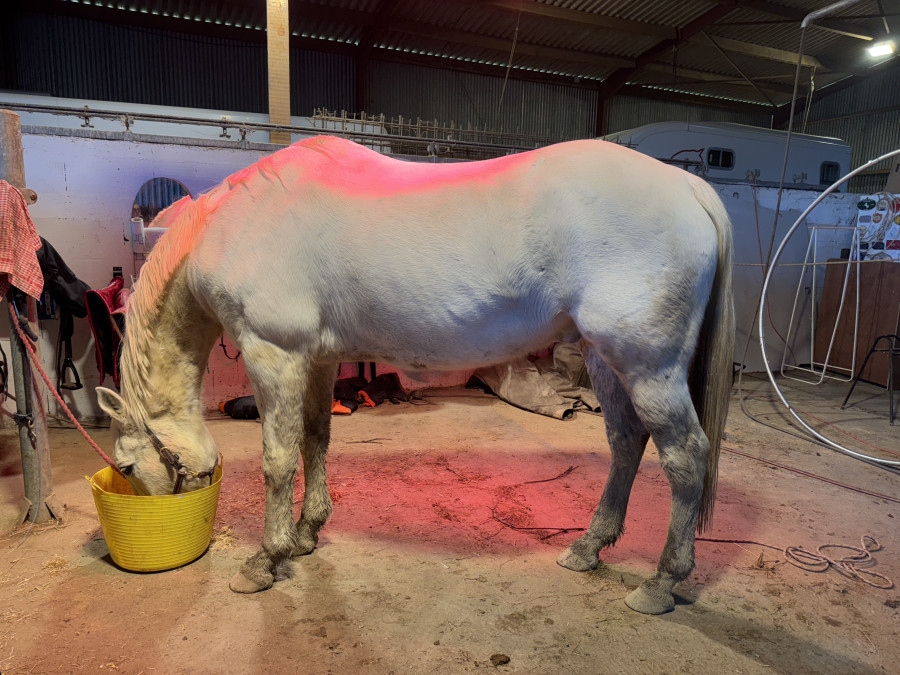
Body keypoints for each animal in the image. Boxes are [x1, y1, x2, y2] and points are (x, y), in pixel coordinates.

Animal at [96, 135, 734, 615]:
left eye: (126, 466)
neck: (231, 228)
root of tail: (688, 186)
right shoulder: (317, 360)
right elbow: (315, 440)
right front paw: (306, 536)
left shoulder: (273, 354)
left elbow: (278, 460)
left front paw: (264, 561)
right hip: (608, 360)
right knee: (627, 443)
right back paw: (588, 548)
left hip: (648, 366)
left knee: (685, 458)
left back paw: (661, 582)